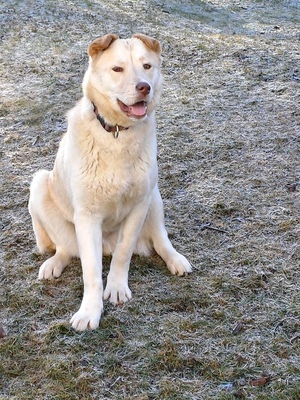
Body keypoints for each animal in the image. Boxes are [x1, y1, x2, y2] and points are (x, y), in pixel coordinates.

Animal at [28, 32, 192, 330]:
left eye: (147, 66)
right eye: (117, 69)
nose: (144, 87)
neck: (117, 133)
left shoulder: (139, 205)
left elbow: (124, 253)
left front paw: (116, 288)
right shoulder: (87, 216)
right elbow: (91, 271)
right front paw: (90, 311)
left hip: (154, 196)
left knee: (160, 240)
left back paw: (175, 259)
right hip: (39, 186)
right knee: (65, 248)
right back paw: (53, 264)